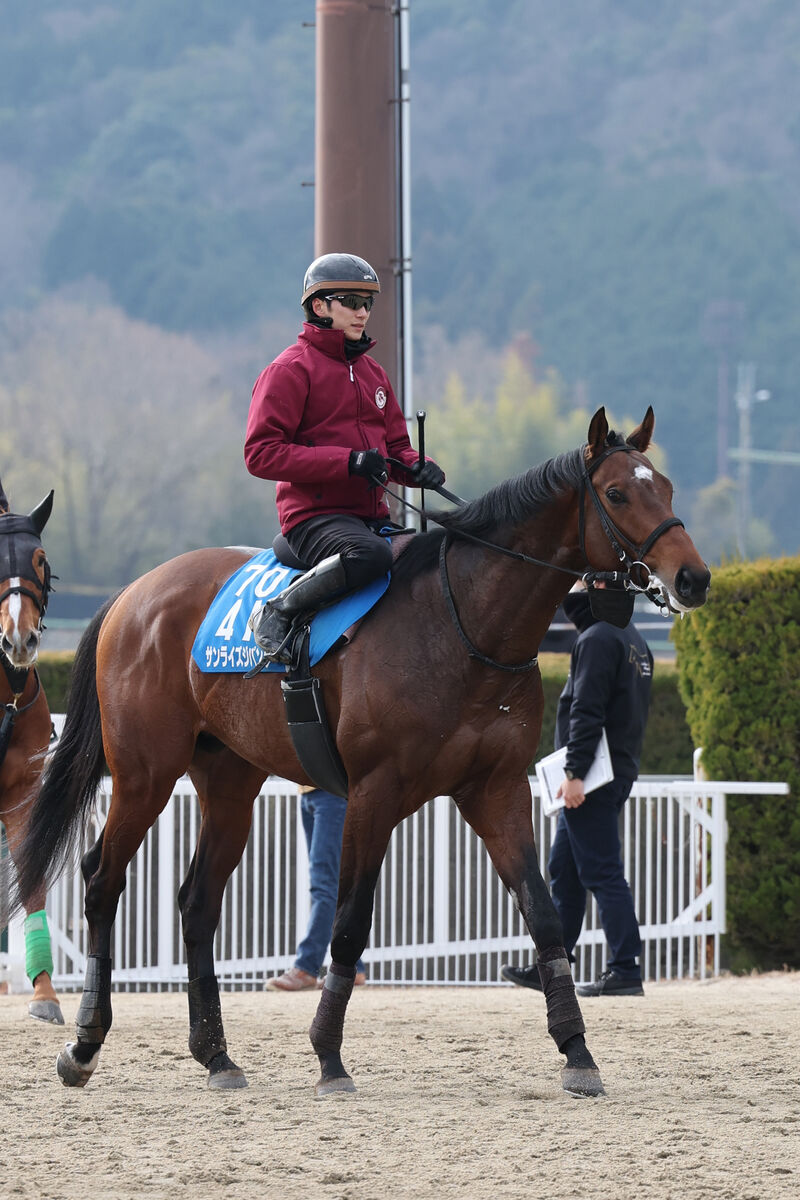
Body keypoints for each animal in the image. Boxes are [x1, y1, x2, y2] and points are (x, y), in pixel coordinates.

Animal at [12, 412, 710, 1099]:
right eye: (617, 493)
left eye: (667, 488)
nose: (693, 577)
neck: (461, 623)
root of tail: (133, 594)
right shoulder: (374, 793)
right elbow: (348, 922)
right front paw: (328, 1055)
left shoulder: (497, 789)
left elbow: (542, 913)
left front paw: (576, 1048)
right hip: (145, 775)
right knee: (102, 879)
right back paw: (85, 1043)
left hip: (230, 783)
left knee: (198, 902)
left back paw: (216, 1055)